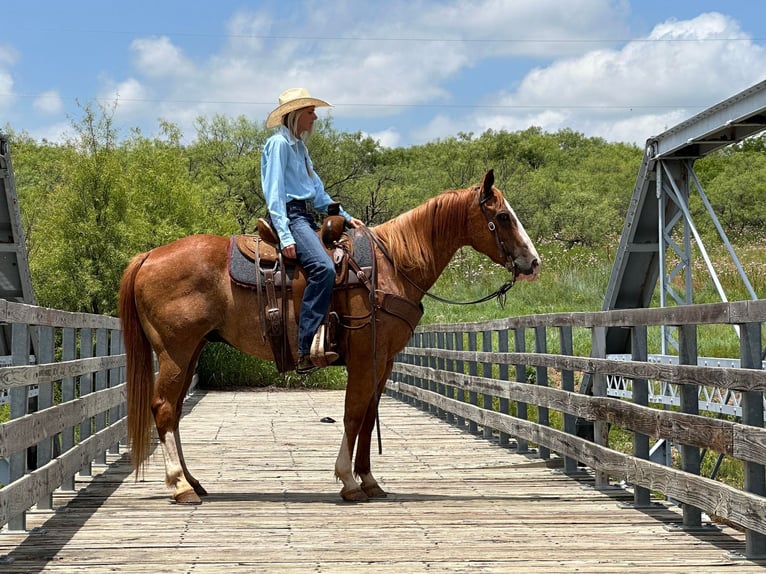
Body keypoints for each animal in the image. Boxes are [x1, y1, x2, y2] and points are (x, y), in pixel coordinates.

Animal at [118, 170, 540, 504]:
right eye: (503, 216)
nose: (533, 262)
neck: (391, 265)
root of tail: (148, 256)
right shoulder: (365, 358)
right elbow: (352, 414)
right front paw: (348, 480)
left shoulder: (382, 361)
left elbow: (368, 417)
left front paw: (369, 481)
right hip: (175, 351)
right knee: (164, 408)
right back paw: (179, 487)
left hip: (191, 351)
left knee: (172, 412)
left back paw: (192, 482)